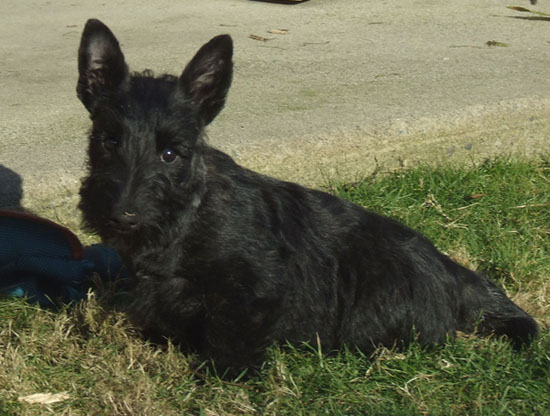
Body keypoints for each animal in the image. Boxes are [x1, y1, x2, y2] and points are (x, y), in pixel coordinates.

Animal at [77, 19, 538, 372]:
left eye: (171, 153)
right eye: (107, 142)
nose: (121, 215)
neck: (187, 216)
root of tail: (454, 272)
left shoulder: (254, 292)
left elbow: (231, 343)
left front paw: (223, 379)